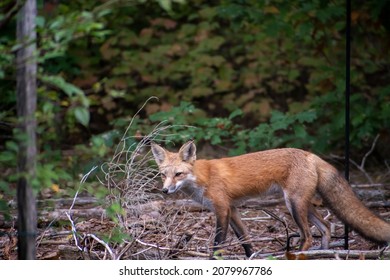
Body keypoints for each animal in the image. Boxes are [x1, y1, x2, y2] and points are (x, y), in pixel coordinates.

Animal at [150, 141, 390, 258]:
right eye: (163, 174)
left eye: (178, 174)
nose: (165, 190)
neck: (203, 177)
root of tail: (310, 155)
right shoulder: (233, 209)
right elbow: (245, 240)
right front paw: (251, 258)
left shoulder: (222, 209)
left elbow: (218, 244)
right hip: (302, 204)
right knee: (326, 226)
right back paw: (323, 254)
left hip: (293, 204)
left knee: (307, 236)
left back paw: (299, 255)